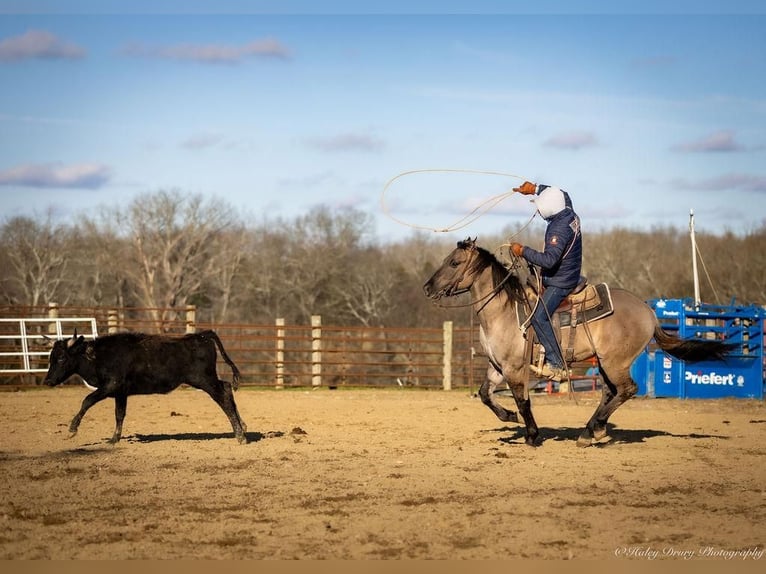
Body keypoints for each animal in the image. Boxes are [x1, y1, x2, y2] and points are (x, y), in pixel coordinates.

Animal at [424, 238, 736, 450]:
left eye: (454, 262)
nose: (427, 288)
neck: (504, 311)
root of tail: (648, 311)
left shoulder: (514, 369)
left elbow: (523, 401)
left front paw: (532, 435)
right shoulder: (496, 367)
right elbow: (486, 394)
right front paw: (509, 416)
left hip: (615, 362)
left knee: (626, 390)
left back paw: (590, 431)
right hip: (605, 363)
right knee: (610, 393)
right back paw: (593, 430)